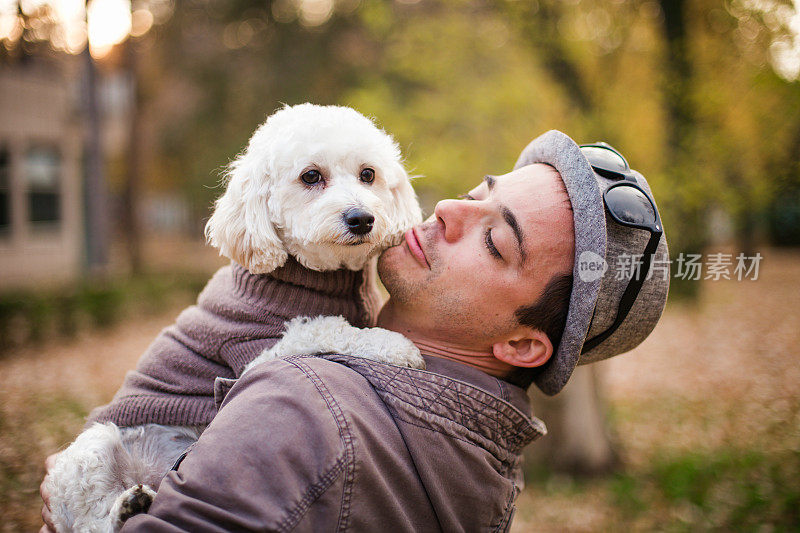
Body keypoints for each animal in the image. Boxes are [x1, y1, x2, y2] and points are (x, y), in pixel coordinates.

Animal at [45, 102, 424, 528]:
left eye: (368, 174)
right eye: (311, 176)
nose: (362, 218)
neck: (318, 275)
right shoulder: (255, 354)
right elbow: (326, 327)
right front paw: (395, 345)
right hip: (92, 449)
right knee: (91, 520)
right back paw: (126, 506)